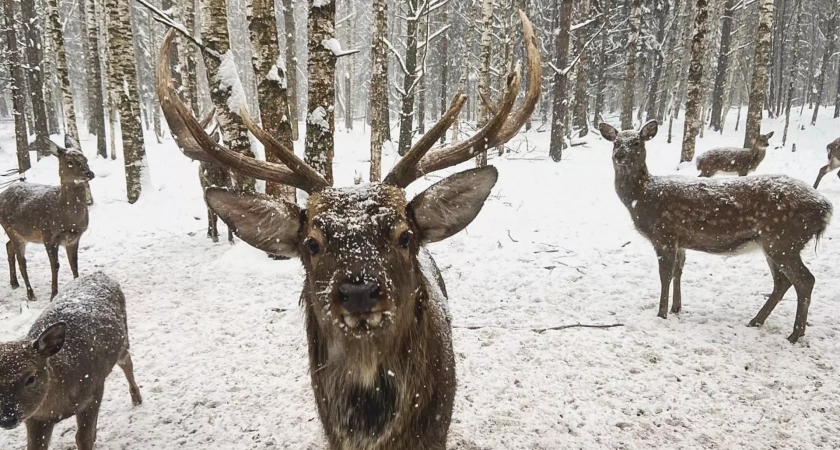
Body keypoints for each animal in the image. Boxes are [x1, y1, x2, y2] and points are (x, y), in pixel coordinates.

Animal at [0, 135, 95, 300]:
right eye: (69, 162)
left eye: (85, 159)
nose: (89, 173)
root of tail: (2, 193)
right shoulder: (48, 235)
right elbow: (55, 265)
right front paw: (53, 295)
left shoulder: (74, 238)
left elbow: (74, 264)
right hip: (10, 228)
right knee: (21, 260)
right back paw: (30, 293)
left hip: (21, 234)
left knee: (8, 246)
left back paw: (14, 283)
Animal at [0, 270, 142, 450]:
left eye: (31, 378)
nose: (7, 418)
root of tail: (99, 273)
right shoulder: (35, 416)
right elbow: (34, 445)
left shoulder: (94, 390)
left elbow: (83, 438)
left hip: (123, 340)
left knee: (127, 363)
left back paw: (137, 398)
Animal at [600, 121, 832, 342]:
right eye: (616, 142)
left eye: (636, 142)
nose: (619, 155)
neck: (642, 197)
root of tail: (825, 209)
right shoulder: (680, 241)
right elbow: (678, 272)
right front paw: (676, 308)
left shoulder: (664, 234)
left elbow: (664, 275)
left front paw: (662, 314)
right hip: (774, 243)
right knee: (783, 282)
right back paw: (756, 321)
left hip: (784, 239)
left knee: (805, 280)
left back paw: (794, 334)